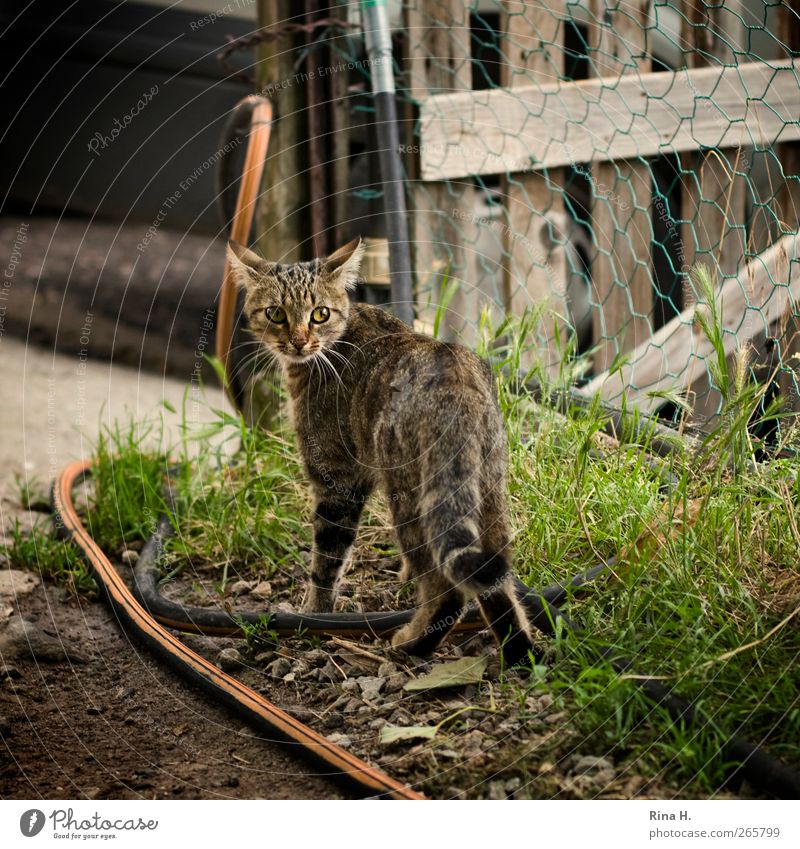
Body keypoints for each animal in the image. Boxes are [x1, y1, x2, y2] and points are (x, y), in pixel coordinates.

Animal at [225, 237, 536, 664]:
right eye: (275, 313)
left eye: (319, 314)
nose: (299, 341)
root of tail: (454, 380)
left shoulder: (336, 481)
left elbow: (326, 561)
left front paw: (313, 617)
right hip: (487, 492)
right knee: (494, 580)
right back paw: (519, 651)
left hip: (409, 498)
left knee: (447, 590)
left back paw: (410, 643)